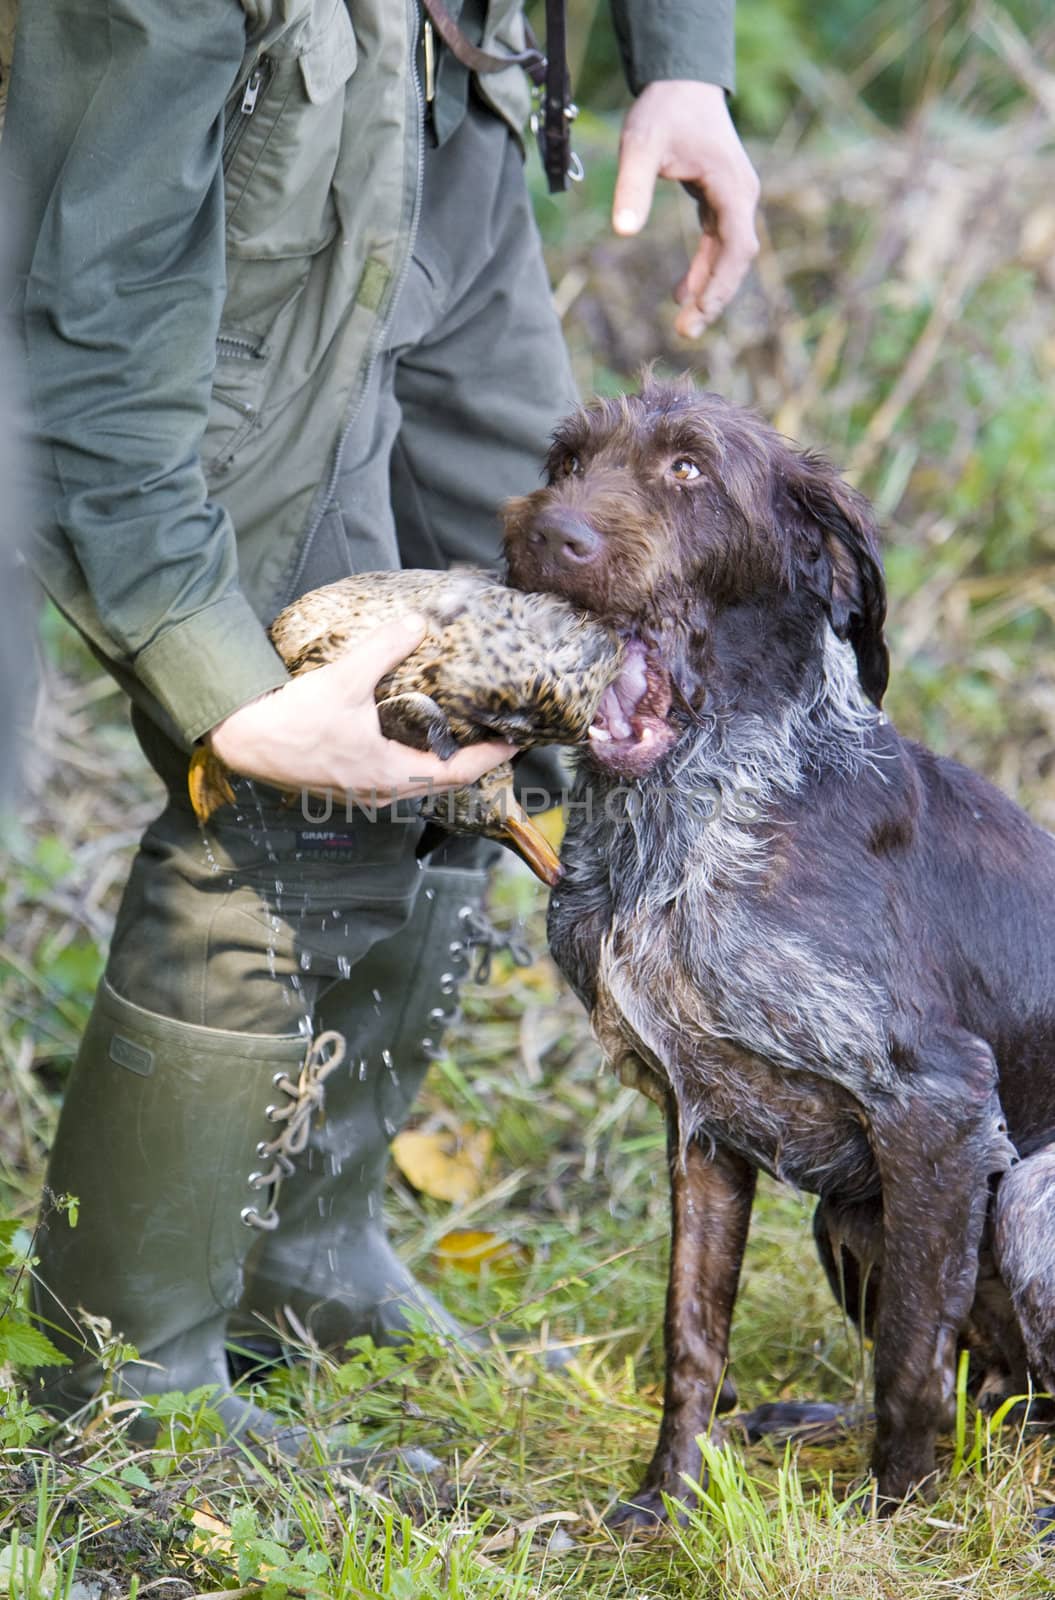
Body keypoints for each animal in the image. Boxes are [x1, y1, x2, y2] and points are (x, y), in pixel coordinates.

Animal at [502, 374, 1055, 1523]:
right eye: (565, 463)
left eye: (687, 469)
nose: (542, 534)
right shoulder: (701, 1124)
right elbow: (691, 1338)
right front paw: (666, 1503)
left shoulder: (936, 1104)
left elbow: (907, 1361)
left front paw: (896, 1524)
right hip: (846, 1216)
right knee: (998, 1392)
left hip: (1028, 1196)